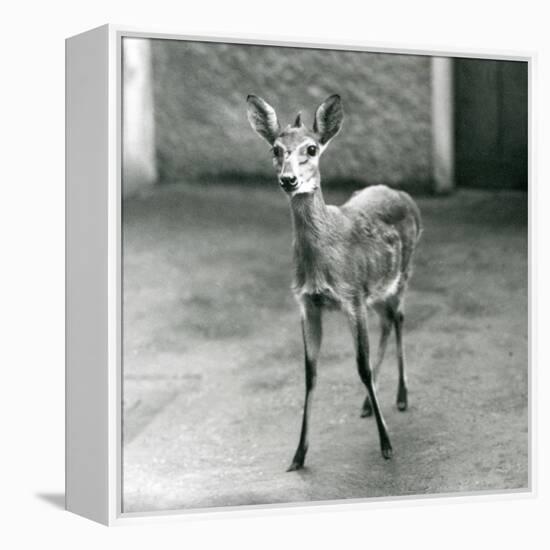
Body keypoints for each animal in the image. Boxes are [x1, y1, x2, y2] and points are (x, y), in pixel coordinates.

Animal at [248, 94, 424, 470]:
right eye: (275, 149)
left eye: (312, 148)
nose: (289, 180)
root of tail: (402, 194)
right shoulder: (308, 304)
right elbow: (310, 373)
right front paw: (298, 455)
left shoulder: (351, 297)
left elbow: (360, 368)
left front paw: (386, 445)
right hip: (377, 289)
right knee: (387, 320)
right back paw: (369, 404)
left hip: (402, 274)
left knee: (400, 318)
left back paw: (401, 397)